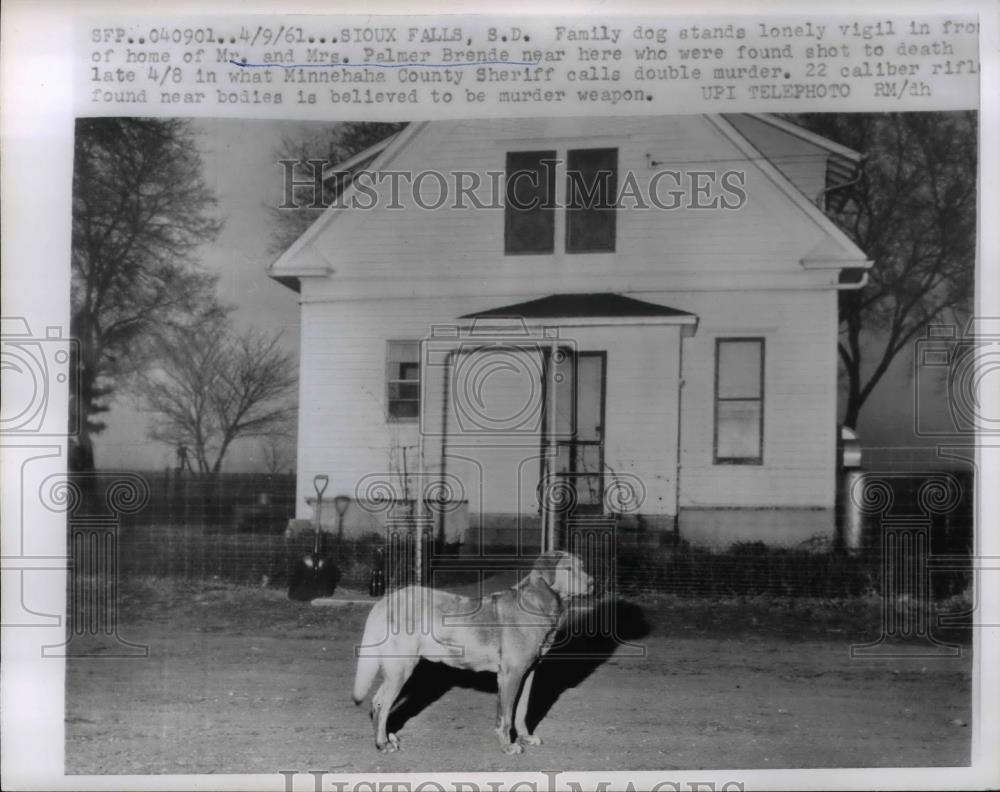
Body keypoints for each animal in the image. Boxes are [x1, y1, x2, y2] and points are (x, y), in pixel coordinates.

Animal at [354, 552, 592, 756]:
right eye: (568, 569)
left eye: (582, 566)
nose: (592, 583)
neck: (537, 603)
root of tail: (385, 601)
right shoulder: (510, 675)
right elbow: (506, 716)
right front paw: (507, 746)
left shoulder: (528, 673)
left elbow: (521, 712)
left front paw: (525, 737)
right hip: (401, 668)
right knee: (382, 704)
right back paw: (382, 743)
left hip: (396, 670)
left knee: (377, 703)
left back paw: (386, 738)